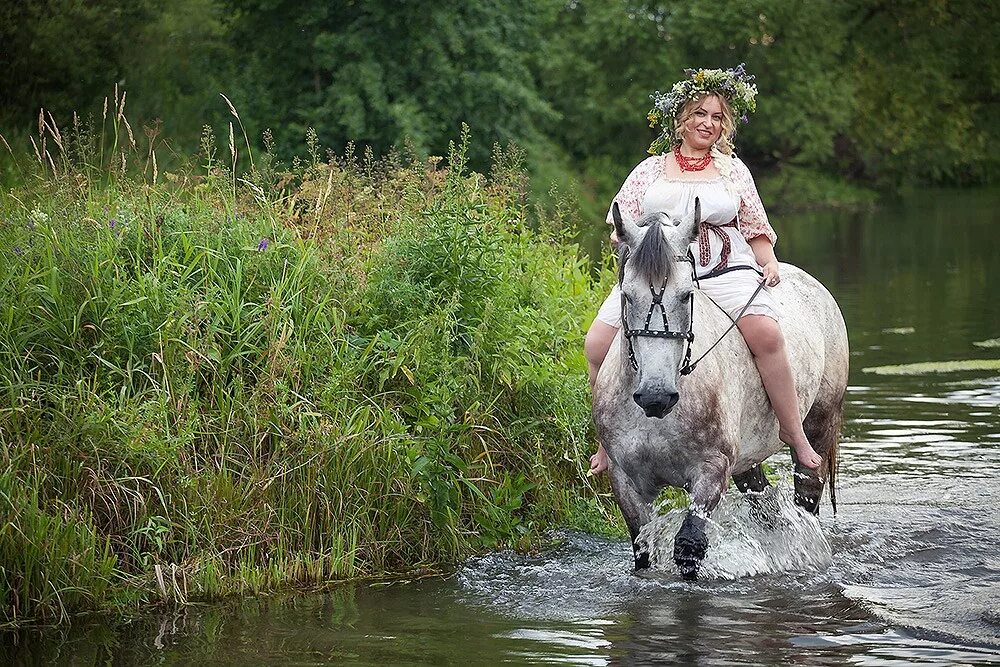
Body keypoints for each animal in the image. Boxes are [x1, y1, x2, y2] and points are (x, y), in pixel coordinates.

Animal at [596, 201, 848, 576]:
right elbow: (643, 552)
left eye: (686, 295)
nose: (656, 397)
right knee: (764, 504)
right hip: (747, 459)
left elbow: (689, 545)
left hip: (819, 426)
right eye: (626, 296)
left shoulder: (711, 471)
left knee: (807, 500)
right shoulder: (625, 481)